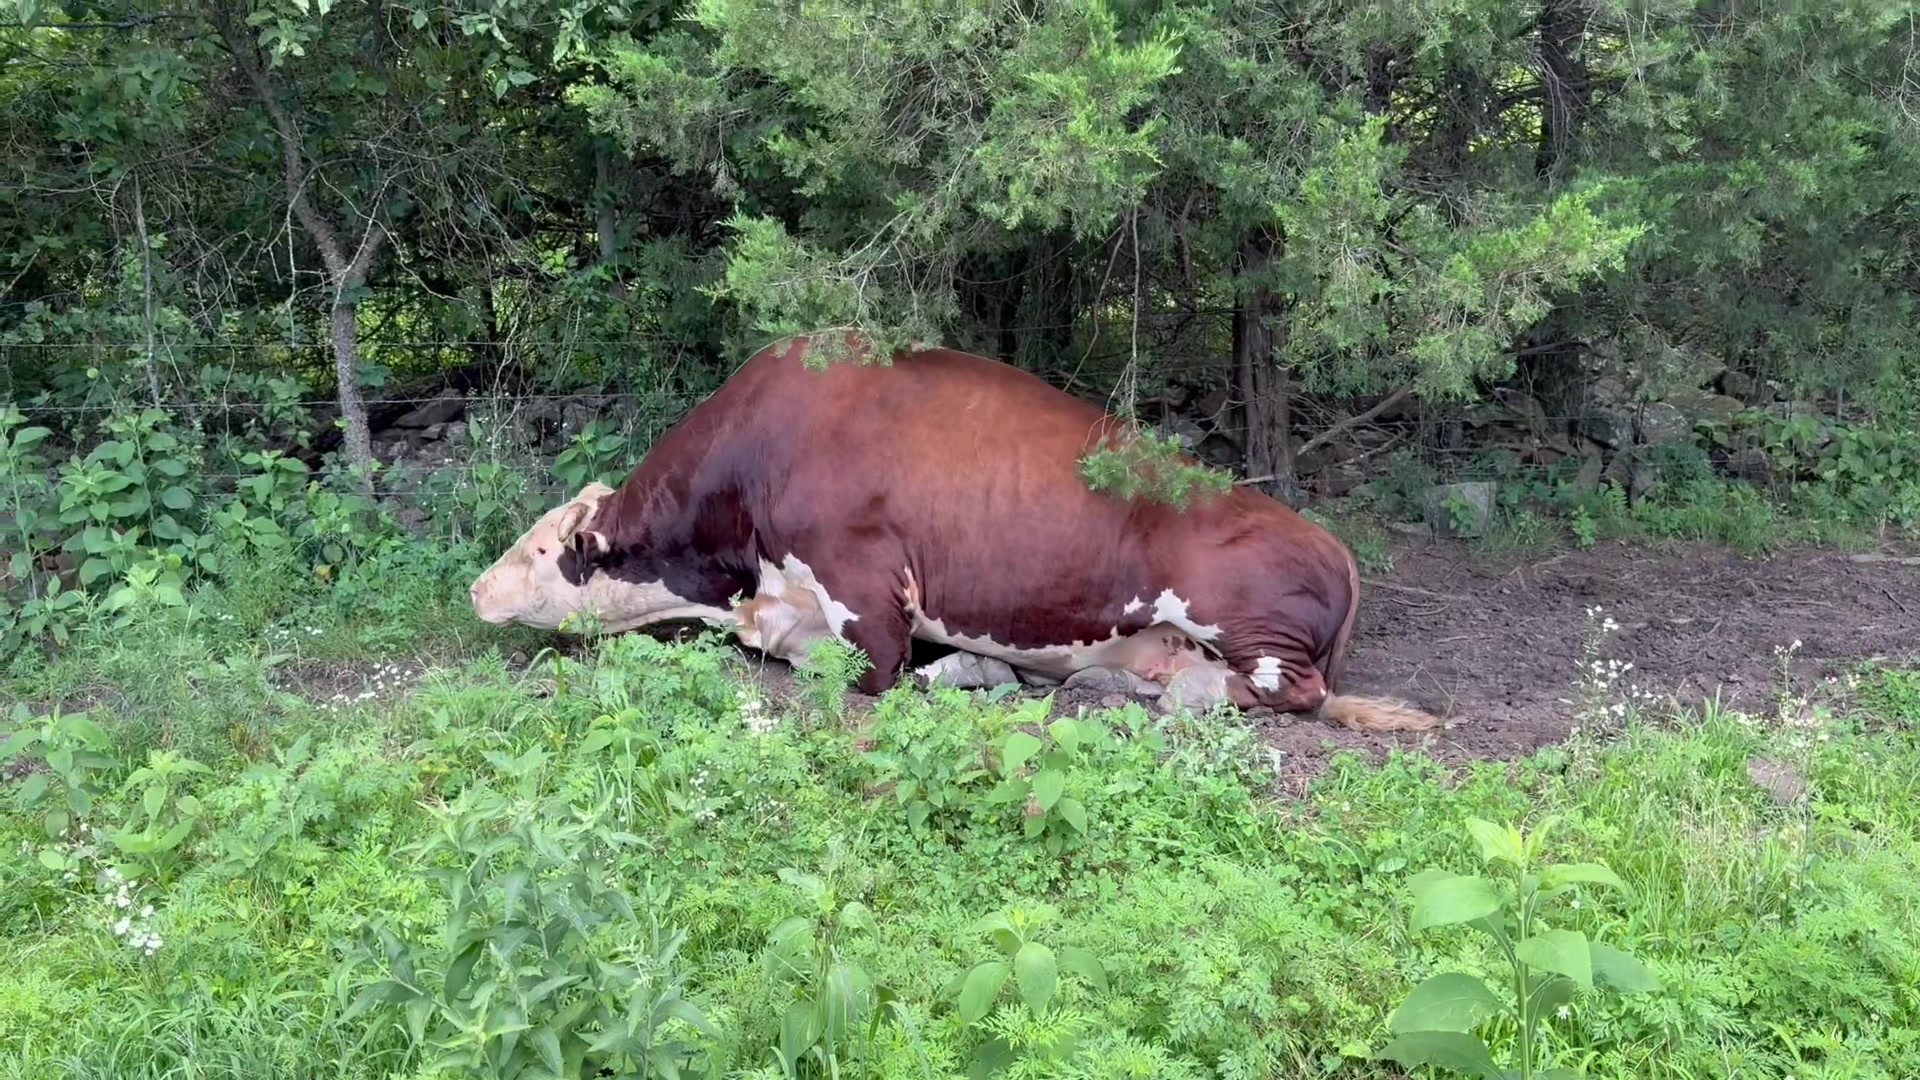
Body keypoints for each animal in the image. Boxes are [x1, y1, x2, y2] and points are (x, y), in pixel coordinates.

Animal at [469, 331, 1440, 732]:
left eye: (539, 549)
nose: (476, 589)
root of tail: (1331, 543)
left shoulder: (865, 589)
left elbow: (870, 673)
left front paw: (953, 672)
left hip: (1244, 614)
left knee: (1289, 690)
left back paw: (1176, 690)